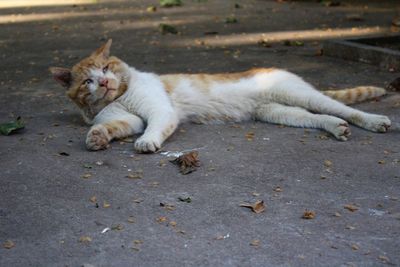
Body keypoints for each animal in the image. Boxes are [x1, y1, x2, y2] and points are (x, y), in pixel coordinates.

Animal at [49, 39, 390, 153]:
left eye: (107, 67)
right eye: (89, 80)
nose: (105, 82)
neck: (119, 96)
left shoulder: (159, 111)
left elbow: (153, 127)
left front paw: (147, 142)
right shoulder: (128, 119)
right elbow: (113, 126)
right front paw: (97, 137)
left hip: (299, 96)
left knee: (345, 109)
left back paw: (375, 122)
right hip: (281, 112)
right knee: (321, 117)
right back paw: (337, 128)